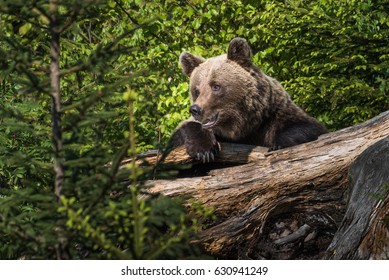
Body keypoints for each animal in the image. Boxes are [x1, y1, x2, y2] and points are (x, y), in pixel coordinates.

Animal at [170, 38, 324, 163]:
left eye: (215, 86)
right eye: (196, 91)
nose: (195, 109)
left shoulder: (273, 114)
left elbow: (306, 126)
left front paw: (277, 144)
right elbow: (185, 130)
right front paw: (205, 151)